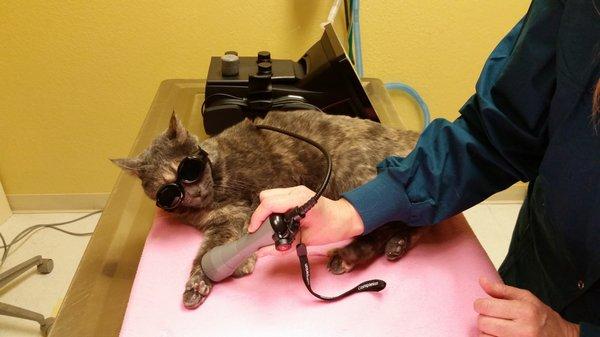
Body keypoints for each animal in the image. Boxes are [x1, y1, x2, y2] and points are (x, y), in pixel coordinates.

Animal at [115, 110, 420, 308]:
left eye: (189, 170)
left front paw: (233, 266)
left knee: (386, 221)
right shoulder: (223, 222)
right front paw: (200, 282)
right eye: (168, 193)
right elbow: (211, 250)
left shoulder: (258, 199)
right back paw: (397, 245)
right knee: (412, 222)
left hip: (350, 172)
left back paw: (348, 255)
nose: (195, 192)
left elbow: (232, 239)